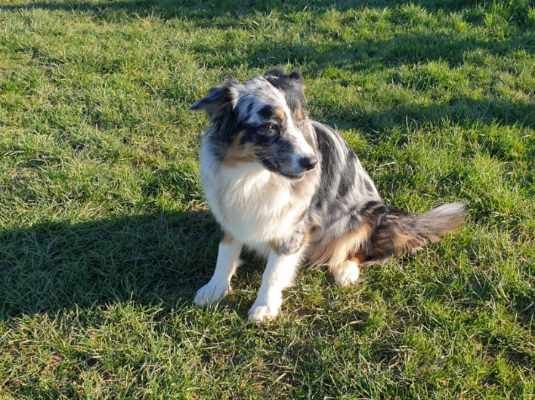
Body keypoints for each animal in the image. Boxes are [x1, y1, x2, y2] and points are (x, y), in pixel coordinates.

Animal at [189, 69, 464, 324]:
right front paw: (214, 288)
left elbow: (273, 272)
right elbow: (225, 251)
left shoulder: (294, 225)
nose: (312, 163)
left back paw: (345, 270)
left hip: (363, 214)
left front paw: (265, 306)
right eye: (269, 127)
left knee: (361, 249)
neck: (253, 175)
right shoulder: (231, 214)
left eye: (300, 121)